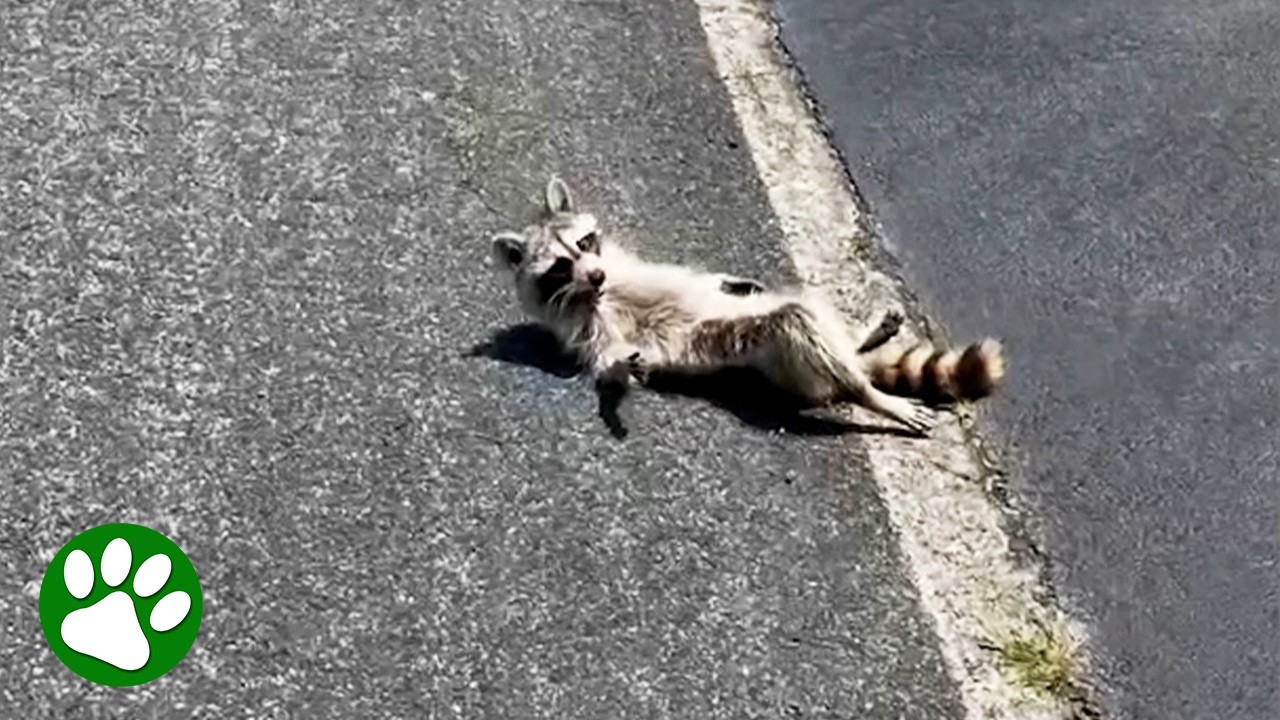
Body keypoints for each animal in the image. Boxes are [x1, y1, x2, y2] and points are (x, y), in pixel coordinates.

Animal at [490, 177, 1004, 434]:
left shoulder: (630, 268)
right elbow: (609, 367)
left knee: (805, 307)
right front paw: (621, 368)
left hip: (790, 317)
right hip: (781, 359)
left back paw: (862, 347)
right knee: (803, 329)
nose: (595, 276)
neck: (596, 293)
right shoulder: (584, 331)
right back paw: (868, 392)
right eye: (561, 266)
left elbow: (692, 278)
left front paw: (726, 280)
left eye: (584, 242)